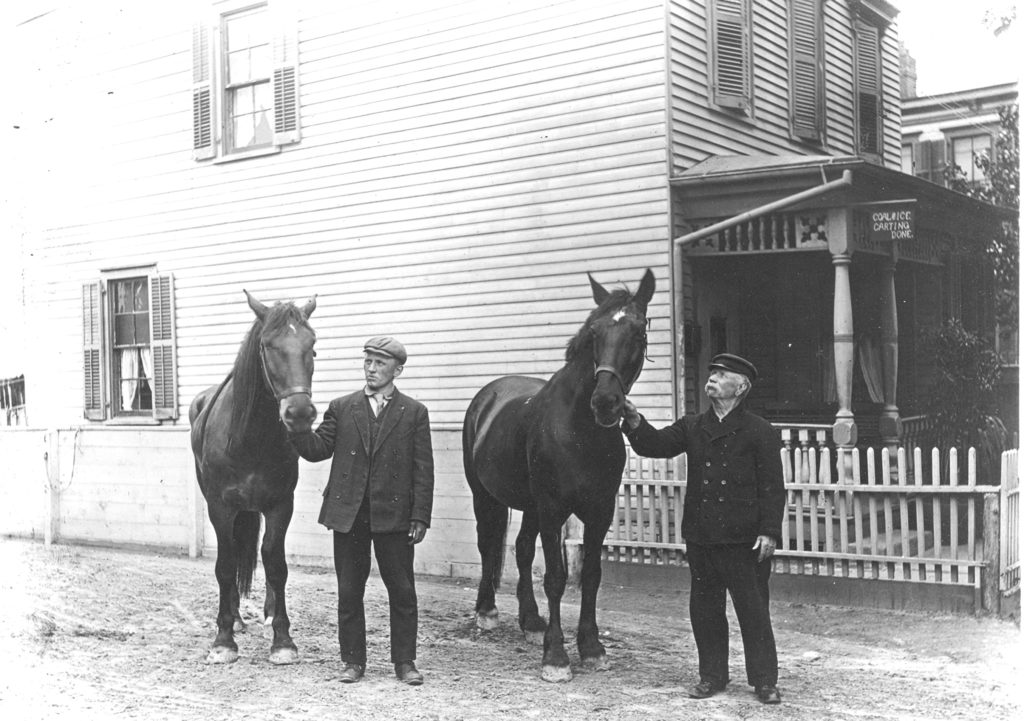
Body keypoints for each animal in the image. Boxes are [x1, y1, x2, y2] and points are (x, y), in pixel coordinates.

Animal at [190, 290, 317, 663]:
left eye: (312, 345)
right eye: (268, 345)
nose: (300, 413)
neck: (249, 437)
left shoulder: (280, 505)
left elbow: (275, 562)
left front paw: (283, 640)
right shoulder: (220, 507)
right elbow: (225, 563)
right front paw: (223, 639)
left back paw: (269, 614)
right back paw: (234, 618)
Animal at [464, 268, 655, 680]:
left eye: (637, 333)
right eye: (594, 333)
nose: (605, 402)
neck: (580, 431)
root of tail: (490, 393)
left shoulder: (599, 512)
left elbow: (591, 576)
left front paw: (592, 647)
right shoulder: (553, 509)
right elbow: (555, 578)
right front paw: (555, 656)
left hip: (530, 506)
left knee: (521, 550)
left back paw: (531, 622)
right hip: (485, 496)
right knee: (488, 545)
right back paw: (487, 612)